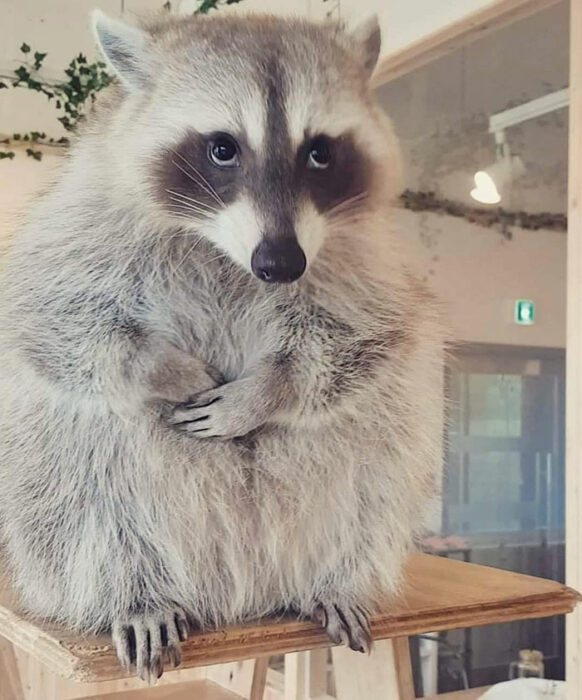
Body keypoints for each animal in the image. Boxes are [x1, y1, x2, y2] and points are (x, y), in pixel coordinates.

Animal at [0, 6, 444, 684]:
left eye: (319, 152)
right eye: (222, 149)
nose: (281, 263)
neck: (226, 252)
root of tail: (240, 595)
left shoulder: (367, 256)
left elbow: (370, 335)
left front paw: (268, 390)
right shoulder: (80, 219)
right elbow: (50, 313)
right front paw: (160, 367)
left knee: (383, 439)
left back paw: (336, 575)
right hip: (58, 493)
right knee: (78, 466)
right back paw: (132, 591)